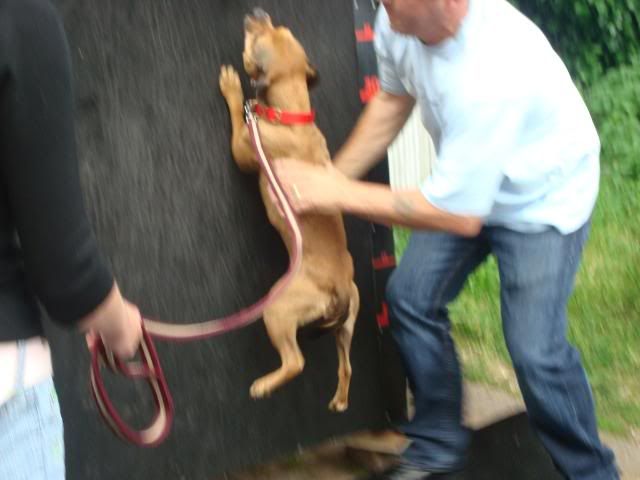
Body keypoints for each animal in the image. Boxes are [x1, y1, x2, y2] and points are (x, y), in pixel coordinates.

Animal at [218, 8, 360, 412]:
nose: (257, 12)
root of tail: (338, 287)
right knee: (346, 365)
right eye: (278, 28)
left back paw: (264, 385)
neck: (292, 113)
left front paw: (233, 89)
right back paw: (340, 401)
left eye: (256, 40)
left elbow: (237, 116)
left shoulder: (242, 148)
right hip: (348, 324)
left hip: (277, 310)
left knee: (295, 362)